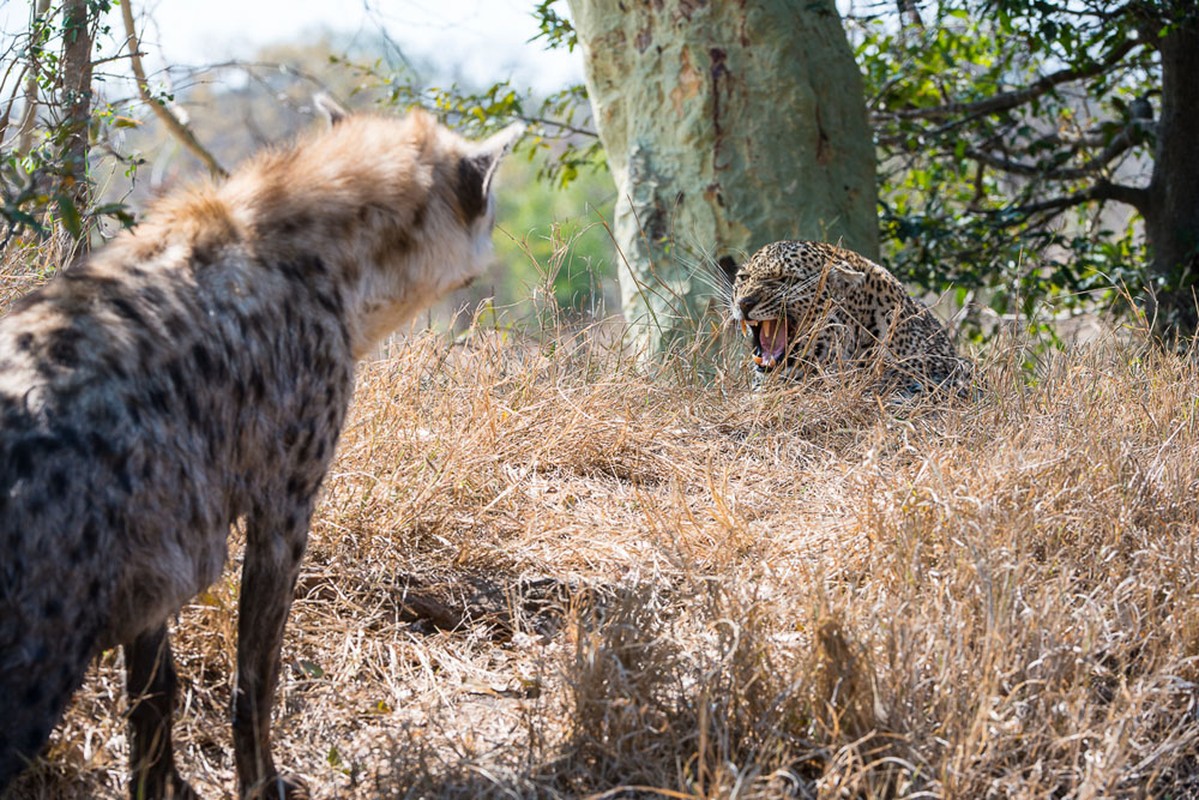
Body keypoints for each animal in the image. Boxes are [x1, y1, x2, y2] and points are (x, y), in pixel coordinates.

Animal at [0, 100, 522, 800]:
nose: (497, 236)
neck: (329, 267)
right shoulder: (285, 500)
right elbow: (258, 672)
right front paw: (263, 783)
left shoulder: (152, 546)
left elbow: (153, 693)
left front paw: (166, 786)